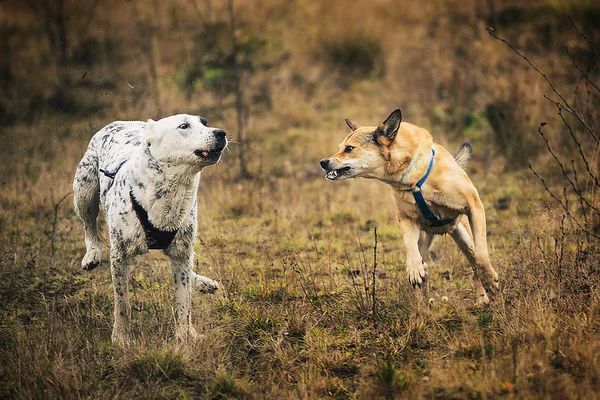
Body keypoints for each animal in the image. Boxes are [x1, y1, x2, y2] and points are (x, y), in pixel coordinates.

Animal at [73, 114, 227, 346]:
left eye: (204, 123)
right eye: (183, 126)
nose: (221, 133)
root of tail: (120, 122)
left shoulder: (182, 253)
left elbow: (184, 303)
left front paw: (184, 338)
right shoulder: (119, 256)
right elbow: (122, 303)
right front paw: (121, 337)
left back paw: (202, 288)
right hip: (84, 186)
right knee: (88, 223)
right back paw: (92, 254)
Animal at [322, 109, 500, 304]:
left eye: (349, 149)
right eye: (341, 147)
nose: (323, 162)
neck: (414, 178)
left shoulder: (474, 205)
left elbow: (482, 256)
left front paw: (490, 279)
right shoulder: (407, 220)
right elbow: (409, 245)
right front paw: (414, 268)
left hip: (465, 238)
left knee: (475, 264)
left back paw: (482, 297)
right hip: (424, 239)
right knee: (424, 263)